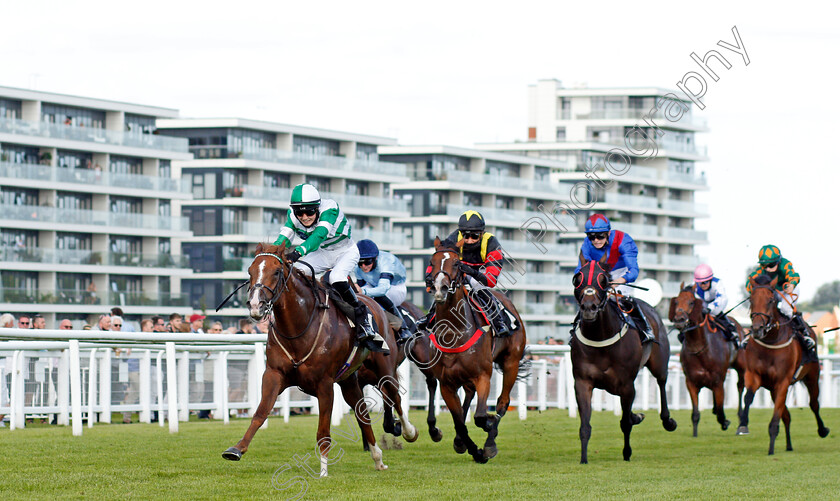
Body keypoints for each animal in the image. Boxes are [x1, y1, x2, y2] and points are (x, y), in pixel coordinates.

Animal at [220, 242, 416, 472]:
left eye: (276, 272)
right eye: (250, 271)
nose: (255, 305)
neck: (299, 327)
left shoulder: (324, 384)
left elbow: (324, 432)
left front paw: (323, 471)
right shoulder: (273, 374)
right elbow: (261, 413)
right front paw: (236, 449)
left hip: (384, 369)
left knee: (394, 396)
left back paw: (409, 432)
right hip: (349, 379)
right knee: (363, 413)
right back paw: (378, 458)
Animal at [426, 236, 524, 462]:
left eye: (456, 263)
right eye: (432, 262)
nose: (439, 288)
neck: (454, 332)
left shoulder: (483, 376)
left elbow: (480, 416)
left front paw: (486, 435)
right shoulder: (446, 384)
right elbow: (460, 424)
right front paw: (471, 449)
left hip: (511, 363)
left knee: (503, 402)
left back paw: (490, 441)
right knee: (468, 397)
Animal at [572, 256, 676, 462]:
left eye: (604, 280)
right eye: (577, 278)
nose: (588, 308)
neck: (600, 337)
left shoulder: (627, 385)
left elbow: (625, 422)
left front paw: (627, 453)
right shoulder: (582, 382)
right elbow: (585, 426)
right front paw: (583, 459)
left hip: (659, 362)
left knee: (661, 382)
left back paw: (667, 420)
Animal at [672, 284, 744, 436]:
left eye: (692, 302)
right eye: (676, 302)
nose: (679, 319)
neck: (700, 349)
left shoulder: (718, 381)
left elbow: (721, 412)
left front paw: (725, 422)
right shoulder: (691, 382)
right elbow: (695, 414)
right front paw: (694, 434)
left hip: (741, 367)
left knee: (740, 386)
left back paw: (741, 420)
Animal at [736, 274, 828, 454]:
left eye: (771, 300)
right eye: (751, 299)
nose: (757, 329)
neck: (771, 341)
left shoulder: (783, 381)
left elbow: (776, 416)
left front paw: (771, 448)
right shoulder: (754, 375)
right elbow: (748, 397)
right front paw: (743, 425)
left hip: (812, 376)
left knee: (814, 404)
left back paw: (822, 430)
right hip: (773, 389)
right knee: (787, 415)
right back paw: (789, 445)